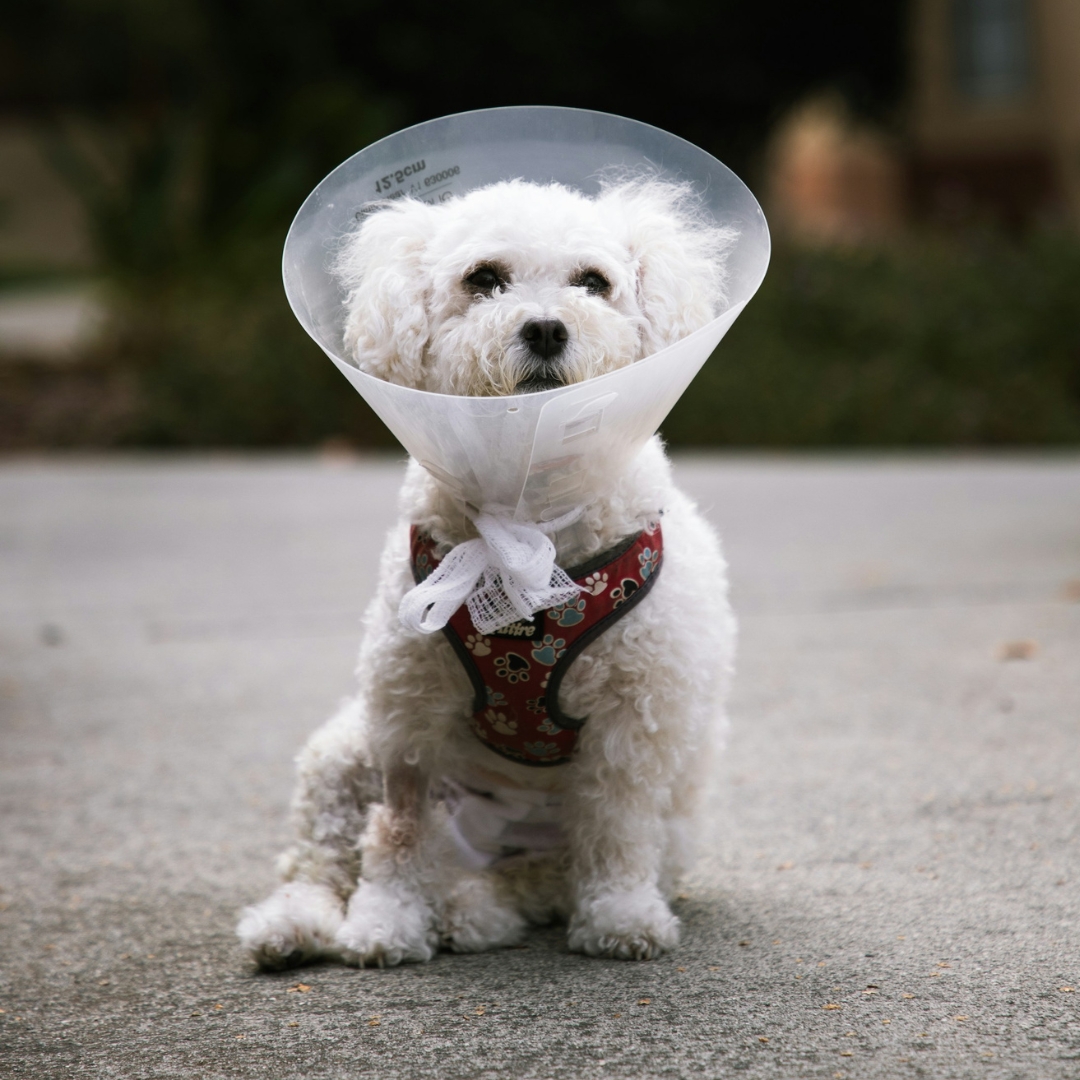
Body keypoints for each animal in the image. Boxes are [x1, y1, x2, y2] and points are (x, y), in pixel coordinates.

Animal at [238, 174, 734, 963]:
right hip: (343, 753)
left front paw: (622, 917)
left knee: (529, 879)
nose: (546, 329)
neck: (524, 524)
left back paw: (474, 911)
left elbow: (620, 828)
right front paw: (385, 924)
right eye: (485, 279)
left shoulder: (635, 720)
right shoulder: (408, 713)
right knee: (320, 859)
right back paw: (294, 926)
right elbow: (397, 832)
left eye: (593, 283)